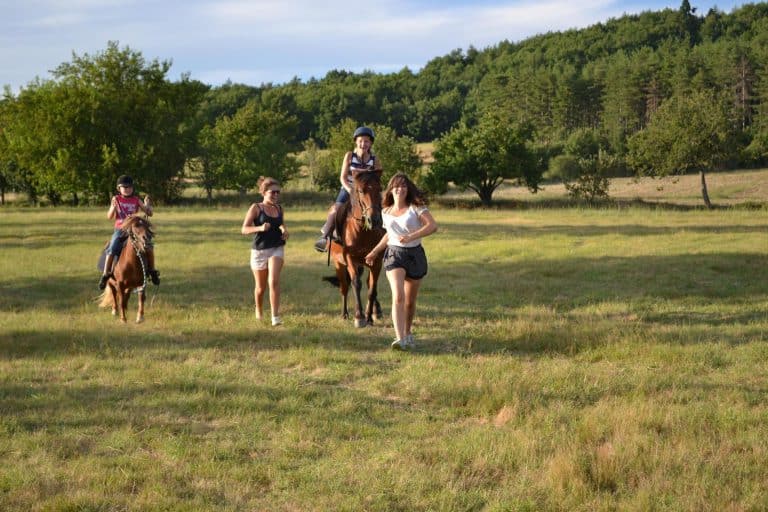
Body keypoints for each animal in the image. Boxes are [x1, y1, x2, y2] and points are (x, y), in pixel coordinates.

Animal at [326, 170, 384, 326]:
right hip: (339, 264)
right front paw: (359, 317)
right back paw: (344, 314)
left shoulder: (376, 261)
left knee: (368, 283)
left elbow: (372, 288)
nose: (374, 220)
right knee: (344, 287)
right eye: (361, 191)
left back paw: (376, 311)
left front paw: (369, 317)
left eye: (380, 189)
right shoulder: (350, 258)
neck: (363, 231)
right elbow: (356, 284)